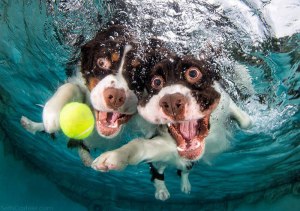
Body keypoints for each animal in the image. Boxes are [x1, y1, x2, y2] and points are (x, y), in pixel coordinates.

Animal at [20, 24, 157, 166]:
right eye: (101, 62)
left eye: (140, 73)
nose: (115, 97)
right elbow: (71, 87)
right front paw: (52, 113)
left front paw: (116, 157)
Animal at [92, 51, 253, 201]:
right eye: (156, 82)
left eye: (193, 73)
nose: (171, 101)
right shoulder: (163, 143)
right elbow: (140, 145)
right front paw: (116, 156)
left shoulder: (225, 101)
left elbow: (246, 121)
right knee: (158, 171)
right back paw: (161, 191)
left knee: (184, 169)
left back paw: (185, 185)